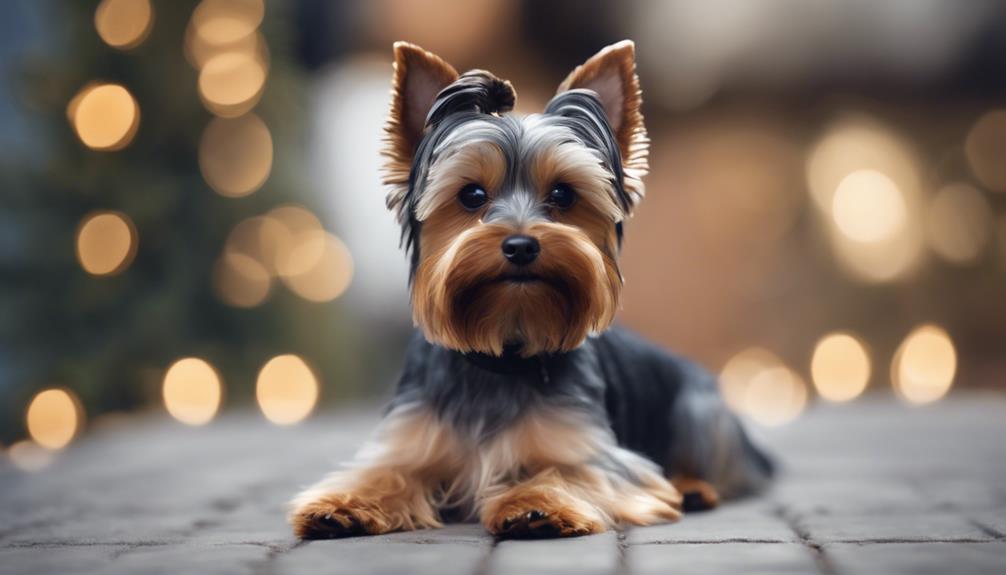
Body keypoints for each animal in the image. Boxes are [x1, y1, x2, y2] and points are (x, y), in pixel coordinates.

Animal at [287, 40, 772, 538]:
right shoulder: (409, 438)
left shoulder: (599, 456)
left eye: (562, 195)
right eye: (472, 196)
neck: (503, 356)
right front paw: (343, 504)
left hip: (699, 410)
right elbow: (386, 471)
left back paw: (695, 488)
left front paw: (534, 505)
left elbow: (566, 470)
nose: (521, 245)